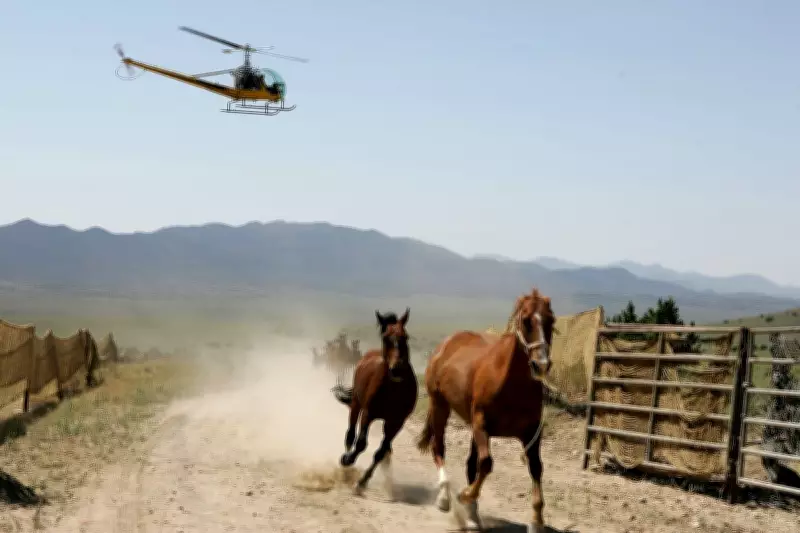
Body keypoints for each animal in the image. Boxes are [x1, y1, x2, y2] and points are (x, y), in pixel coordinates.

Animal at [332, 308, 418, 495]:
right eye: (385, 338)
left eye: (406, 336)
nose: (397, 369)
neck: (394, 389)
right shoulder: (368, 413)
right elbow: (361, 443)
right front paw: (347, 460)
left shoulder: (396, 422)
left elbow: (381, 451)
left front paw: (362, 482)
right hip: (356, 406)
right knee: (350, 434)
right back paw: (345, 464)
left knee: (385, 449)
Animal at [416, 288, 555, 533]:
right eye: (526, 320)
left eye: (551, 320)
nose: (541, 365)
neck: (510, 383)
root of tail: (446, 345)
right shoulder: (482, 424)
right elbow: (487, 463)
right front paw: (464, 495)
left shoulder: (531, 432)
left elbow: (536, 468)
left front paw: (537, 521)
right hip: (440, 406)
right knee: (438, 448)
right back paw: (445, 497)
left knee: (471, 465)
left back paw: (472, 517)